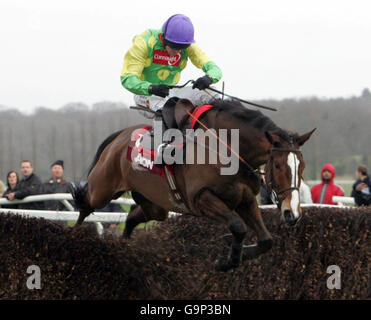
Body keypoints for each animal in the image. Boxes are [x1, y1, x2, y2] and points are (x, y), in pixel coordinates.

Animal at [70, 99, 314, 272]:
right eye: (279, 165)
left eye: (302, 166)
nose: (292, 213)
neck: (226, 147)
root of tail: (118, 137)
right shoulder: (202, 198)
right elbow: (238, 227)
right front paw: (225, 261)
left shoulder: (245, 199)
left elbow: (266, 241)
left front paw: (237, 251)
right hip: (103, 189)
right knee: (85, 205)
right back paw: (74, 240)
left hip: (155, 206)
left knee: (131, 217)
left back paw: (124, 247)